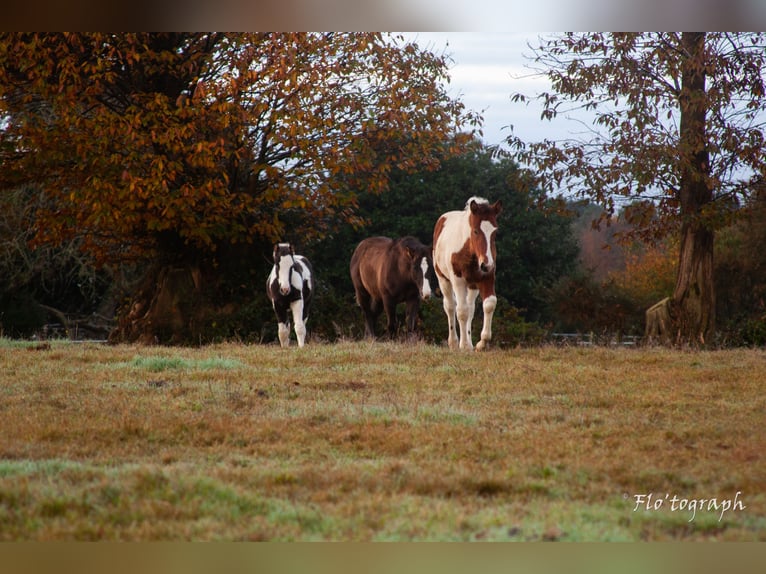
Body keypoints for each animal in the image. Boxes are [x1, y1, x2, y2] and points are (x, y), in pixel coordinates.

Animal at [432, 197, 504, 352]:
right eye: (476, 231)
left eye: (495, 232)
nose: (486, 264)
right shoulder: (458, 280)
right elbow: (461, 311)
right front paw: (464, 345)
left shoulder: (487, 277)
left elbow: (489, 304)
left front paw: (481, 343)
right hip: (443, 280)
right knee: (450, 306)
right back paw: (454, 343)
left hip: (472, 286)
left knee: (470, 308)